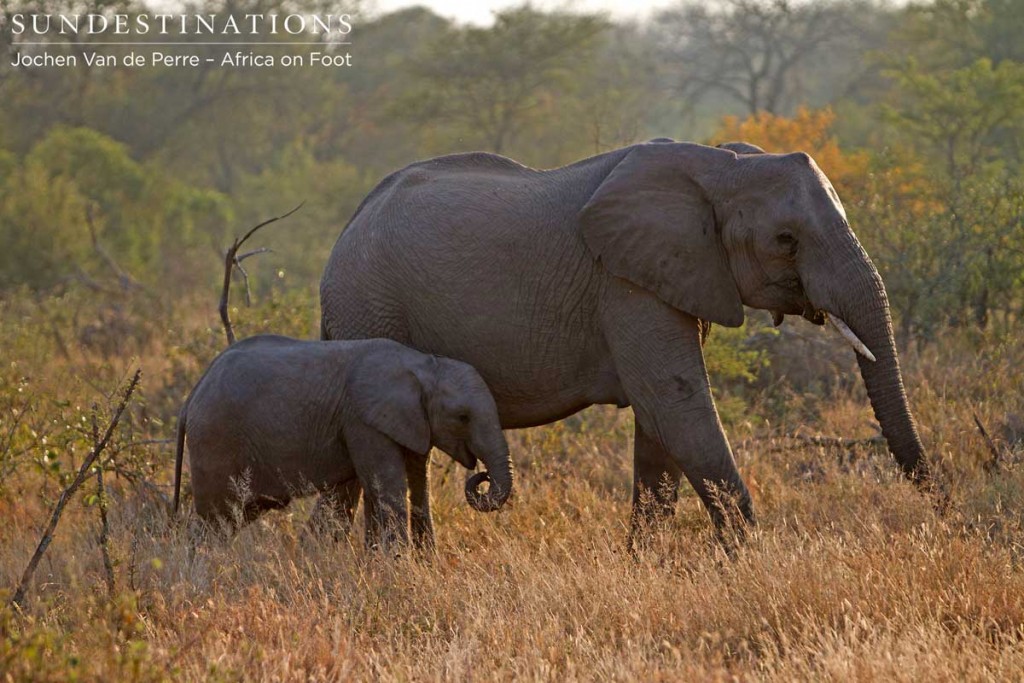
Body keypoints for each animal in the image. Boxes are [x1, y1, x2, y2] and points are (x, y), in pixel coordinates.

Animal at [174, 333, 520, 548]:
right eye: (463, 417)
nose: (482, 476)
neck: (424, 365)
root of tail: (191, 397)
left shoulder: (409, 422)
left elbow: (416, 481)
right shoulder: (363, 421)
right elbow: (388, 488)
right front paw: (397, 569)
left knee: (234, 516)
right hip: (216, 440)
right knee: (216, 517)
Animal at [319, 140, 929, 540]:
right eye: (785, 240)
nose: (937, 503)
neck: (720, 167)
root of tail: (346, 231)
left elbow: (659, 429)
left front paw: (648, 567)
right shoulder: (626, 282)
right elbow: (676, 406)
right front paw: (756, 568)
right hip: (369, 308)